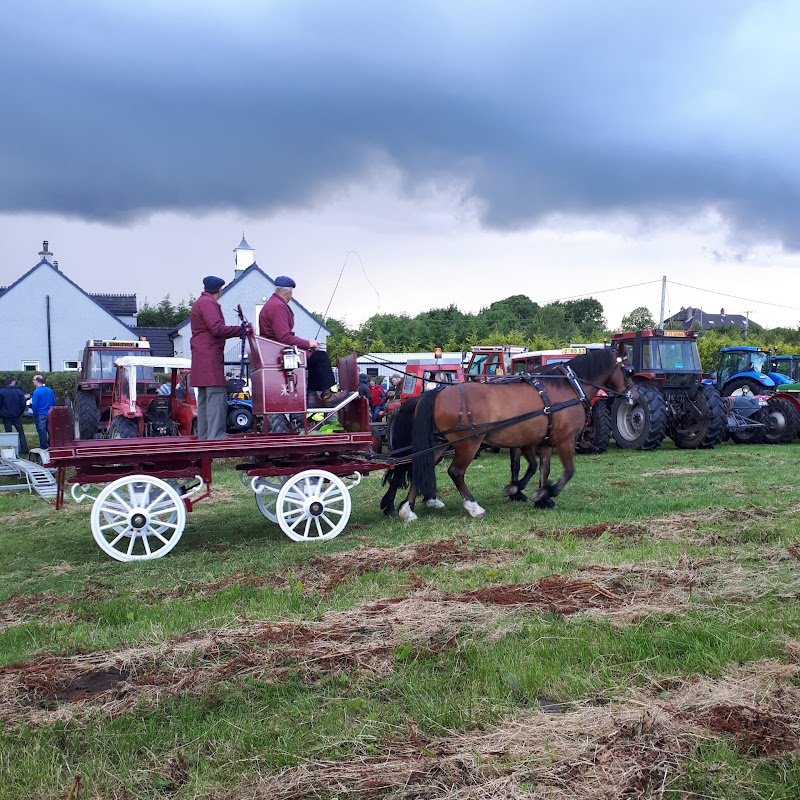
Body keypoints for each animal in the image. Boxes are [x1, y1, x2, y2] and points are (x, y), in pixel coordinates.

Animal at [396, 348, 636, 520]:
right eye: (628, 370)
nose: (633, 394)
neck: (568, 387)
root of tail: (438, 391)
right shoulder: (564, 441)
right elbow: (568, 472)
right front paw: (543, 493)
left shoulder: (543, 442)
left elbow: (541, 469)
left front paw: (538, 497)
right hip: (468, 444)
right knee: (455, 472)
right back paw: (473, 507)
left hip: (441, 443)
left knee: (421, 467)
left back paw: (408, 510)